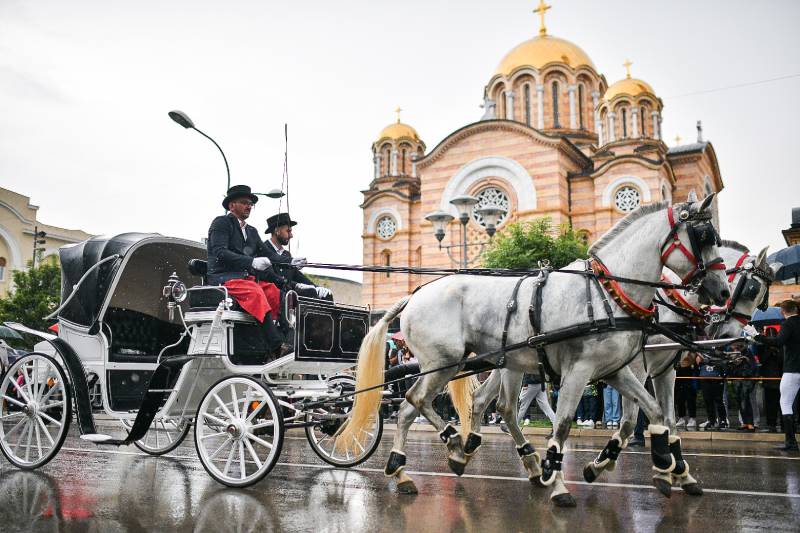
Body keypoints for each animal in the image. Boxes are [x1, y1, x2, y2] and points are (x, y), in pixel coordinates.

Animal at [334, 194, 728, 508]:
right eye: (704, 237)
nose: (722, 292)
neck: (607, 293)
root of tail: (414, 295)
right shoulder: (581, 371)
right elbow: (565, 423)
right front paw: (560, 483)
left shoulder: (619, 370)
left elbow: (654, 414)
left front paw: (663, 466)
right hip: (443, 363)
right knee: (410, 405)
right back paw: (407, 468)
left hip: (484, 363)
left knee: (484, 406)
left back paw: (466, 448)